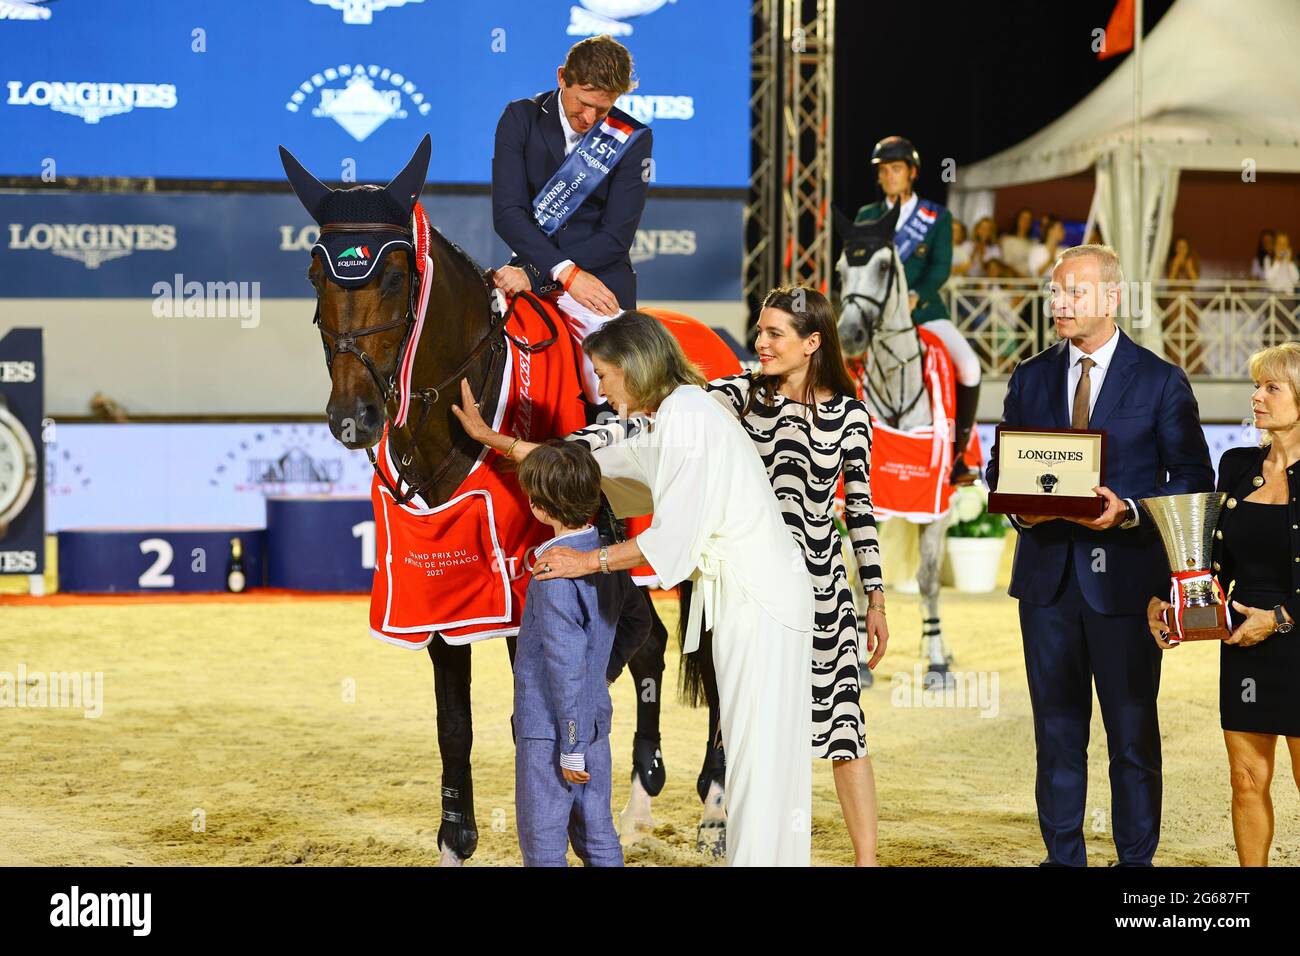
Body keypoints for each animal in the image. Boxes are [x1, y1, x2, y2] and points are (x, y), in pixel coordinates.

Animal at [278, 136, 733, 868]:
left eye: (396, 278)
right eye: (316, 274)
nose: (353, 418)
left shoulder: (532, 589)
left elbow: (537, 719)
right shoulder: (443, 586)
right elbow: (454, 725)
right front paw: (455, 844)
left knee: (714, 663)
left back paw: (715, 812)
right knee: (650, 645)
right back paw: (639, 801)